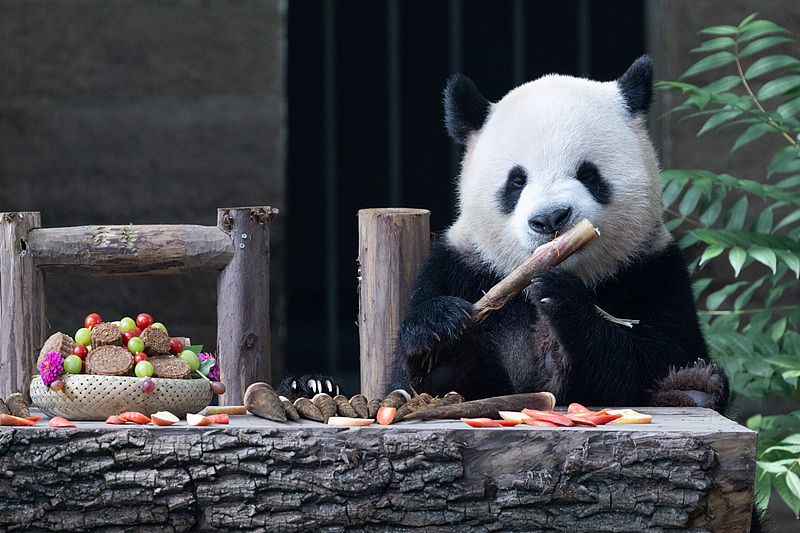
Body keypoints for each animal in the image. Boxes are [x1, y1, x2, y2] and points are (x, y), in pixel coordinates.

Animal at [389, 56, 729, 412]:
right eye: (516, 181)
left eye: (588, 174)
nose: (551, 219)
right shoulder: (458, 267)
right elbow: (421, 386)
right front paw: (440, 342)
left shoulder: (652, 271)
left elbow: (654, 357)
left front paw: (561, 297)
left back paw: (695, 389)